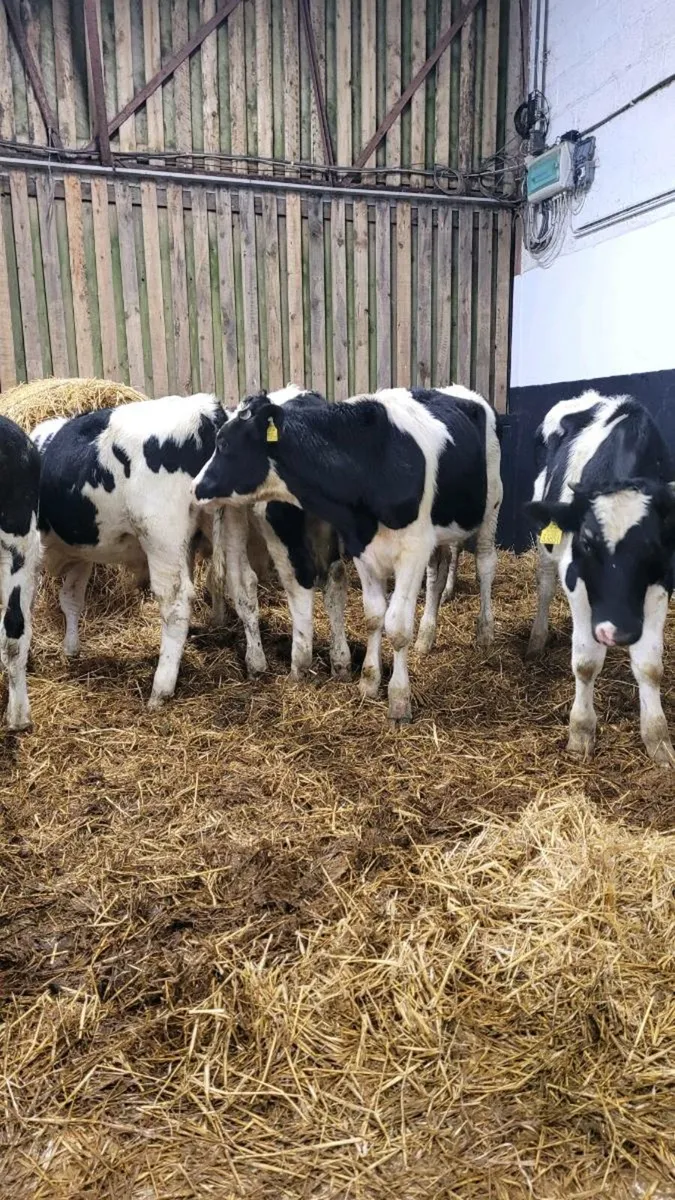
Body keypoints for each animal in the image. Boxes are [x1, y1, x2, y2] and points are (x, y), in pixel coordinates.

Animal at [34, 393, 230, 709]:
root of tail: (202, 407)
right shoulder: (80, 555)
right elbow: (70, 599)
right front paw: (70, 649)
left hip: (161, 537)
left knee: (176, 603)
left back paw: (160, 689)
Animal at [194, 385, 502, 724]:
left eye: (223, 443)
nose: (195, 487)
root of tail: (457, 390)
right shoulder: (362, 549)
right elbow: (374, 616)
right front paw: (368, 682)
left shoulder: (412, 550)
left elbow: (397, 626)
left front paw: (399, 701)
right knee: (437, 574)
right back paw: (426, 638)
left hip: (491, 508)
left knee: (485, 565)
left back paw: (484, 633)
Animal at [524, 391, 675, 765]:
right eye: (588, 542)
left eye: (653, 546)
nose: (617, 632)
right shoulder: (575, 577)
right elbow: (585, 662)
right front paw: (580, 733)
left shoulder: (663, 581)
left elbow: (650, 665)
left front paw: (657, 738)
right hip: (547, 537)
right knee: (545, 585)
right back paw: (537, 639)